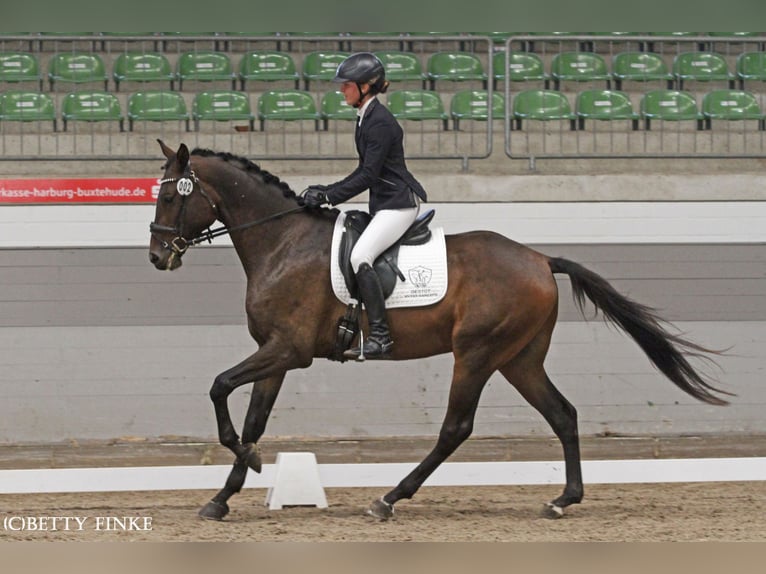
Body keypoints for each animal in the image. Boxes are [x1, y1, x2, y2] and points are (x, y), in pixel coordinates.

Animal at [147, 142, 728, 524]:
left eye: (172, 198)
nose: (157, 257)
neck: (282, 240)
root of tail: (540, 259)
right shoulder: (276, 352)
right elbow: (252, 421)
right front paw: (224, 496)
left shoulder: (288, 350)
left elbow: (220, 389)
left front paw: (249, 466)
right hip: (520, 358)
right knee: (563, 413)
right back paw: (563, 499)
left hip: (477, 353)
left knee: (456, 428)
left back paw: (389, 499)